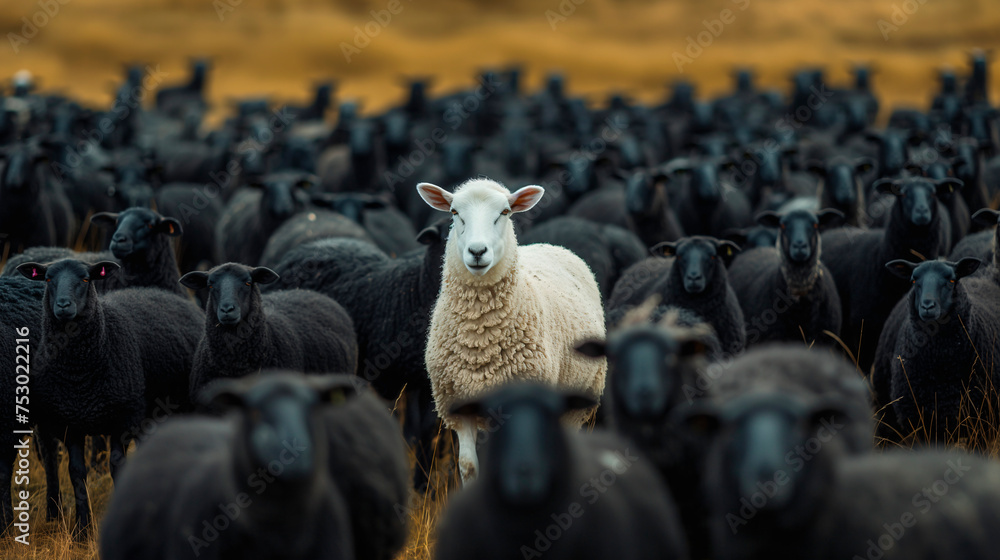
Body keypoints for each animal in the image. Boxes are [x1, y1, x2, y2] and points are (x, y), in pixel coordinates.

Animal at [15, 259, 204, 533]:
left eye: (85, 279)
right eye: (48, 279)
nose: (63, 305)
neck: (80, 376)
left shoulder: (122, 418)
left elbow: (117, 466)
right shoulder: (71, 423)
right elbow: (76, 471)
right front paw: (82, 530)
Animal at [416, 178, 607, 484]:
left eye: (505, 212)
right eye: (455, 213)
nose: (477, 252)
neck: (479, 335)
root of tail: (549, 244)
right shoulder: (458, 403)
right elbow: (468, 467)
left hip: (581, 398)